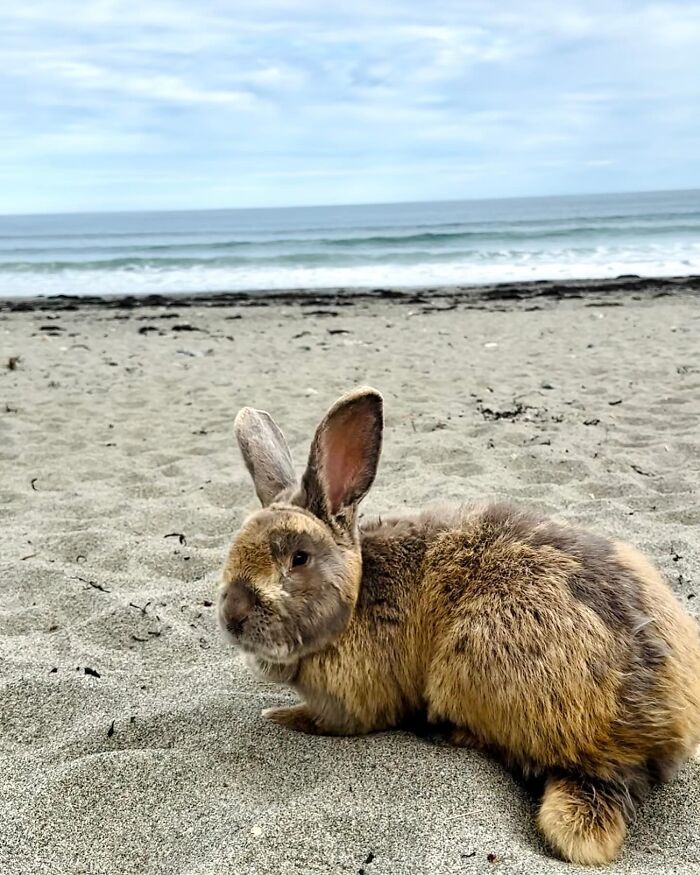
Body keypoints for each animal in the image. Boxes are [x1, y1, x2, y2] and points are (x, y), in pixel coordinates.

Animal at [218, 386, 700, 866]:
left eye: (298, 558)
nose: (231, 616)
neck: (354, 598)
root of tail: (647, 741)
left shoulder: (351, 706)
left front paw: (280, 716)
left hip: (476, 662)